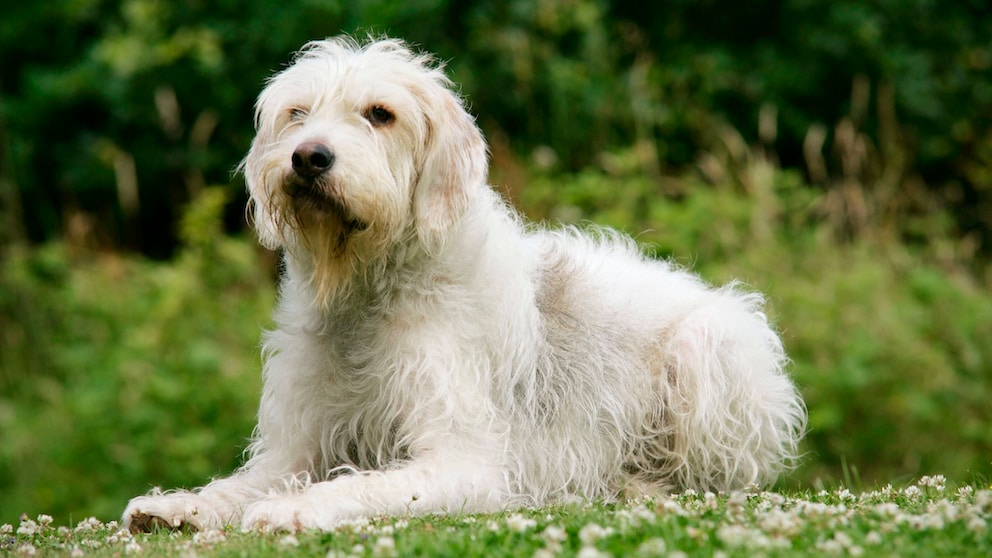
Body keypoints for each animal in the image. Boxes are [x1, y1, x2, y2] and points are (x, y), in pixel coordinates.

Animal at [124, 37, 808, 536]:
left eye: (380, 114)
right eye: (298, 112)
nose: (309, 157)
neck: (372, 289)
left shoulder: (461, 460)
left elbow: (362, 484)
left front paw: (299, 508)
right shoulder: (296, 449)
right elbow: (242, 483)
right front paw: (179, 504)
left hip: (711, 349)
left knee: (720, 483)